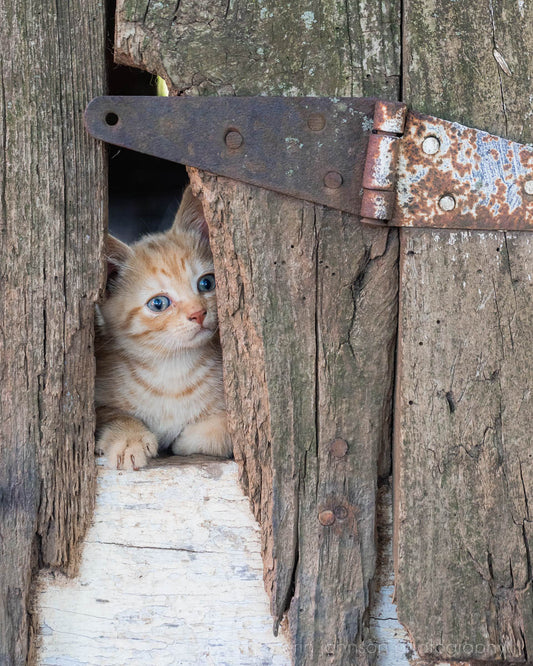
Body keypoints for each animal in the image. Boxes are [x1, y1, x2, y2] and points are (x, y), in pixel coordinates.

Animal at [94, 184, 231, 470]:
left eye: (207, 283)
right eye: (158, 303)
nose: (198, 313)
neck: (172, 368)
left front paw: (187, 439)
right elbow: (112, 414)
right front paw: (128, 438)